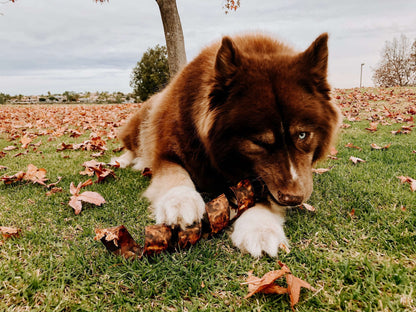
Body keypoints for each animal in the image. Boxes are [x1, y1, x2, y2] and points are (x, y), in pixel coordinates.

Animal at [113, 31, 342, 258]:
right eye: (258, 142)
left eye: (303, 135)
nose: (293, 199)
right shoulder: (166, 149)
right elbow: (173, 174)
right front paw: (180, 202)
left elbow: (263, 198)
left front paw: (260, 227)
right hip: (140, 124)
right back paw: (123, 161)